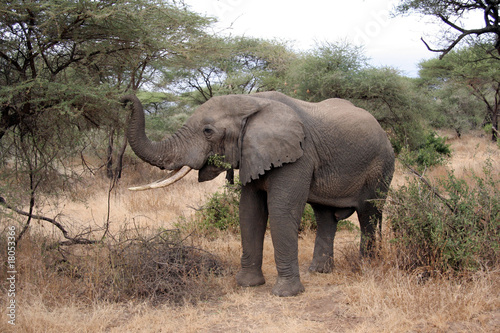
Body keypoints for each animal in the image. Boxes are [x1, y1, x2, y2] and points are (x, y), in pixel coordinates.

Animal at [121, 90, 394, 296]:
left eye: (208, 131)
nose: (124, 100)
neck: (252, 101)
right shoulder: (252, 153)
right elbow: (250, 211)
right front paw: (247, 284)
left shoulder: (299, 153)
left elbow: (281, 211)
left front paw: (286, 294)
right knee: (325, 216)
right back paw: (319, 271)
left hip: (381, 165)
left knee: (369, 213)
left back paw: (366, 267)